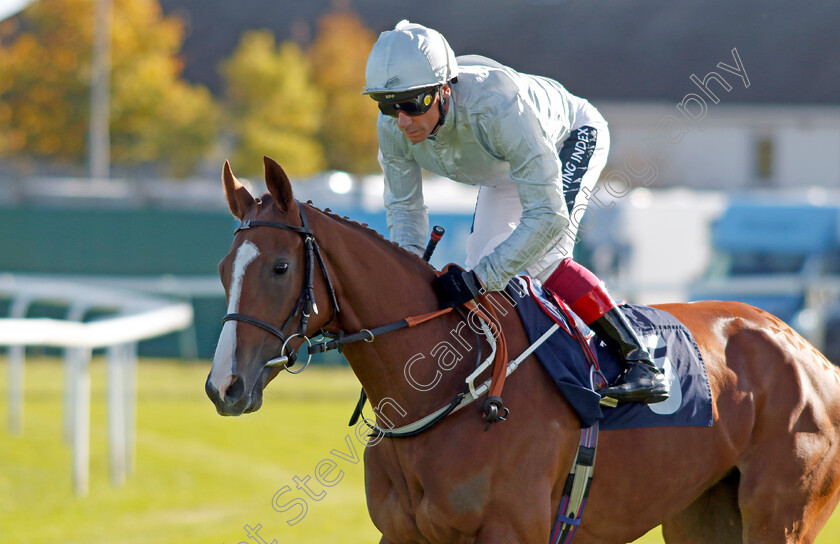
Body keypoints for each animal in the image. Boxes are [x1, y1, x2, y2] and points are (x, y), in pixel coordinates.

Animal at [205, 155, 840, 540]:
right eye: (221, 269)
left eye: (280, 267)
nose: (223, 387)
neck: (450, 386)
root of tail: (811, 355)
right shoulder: (402, 532)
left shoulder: (513, 530)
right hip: (700, 514)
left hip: (780, 517)